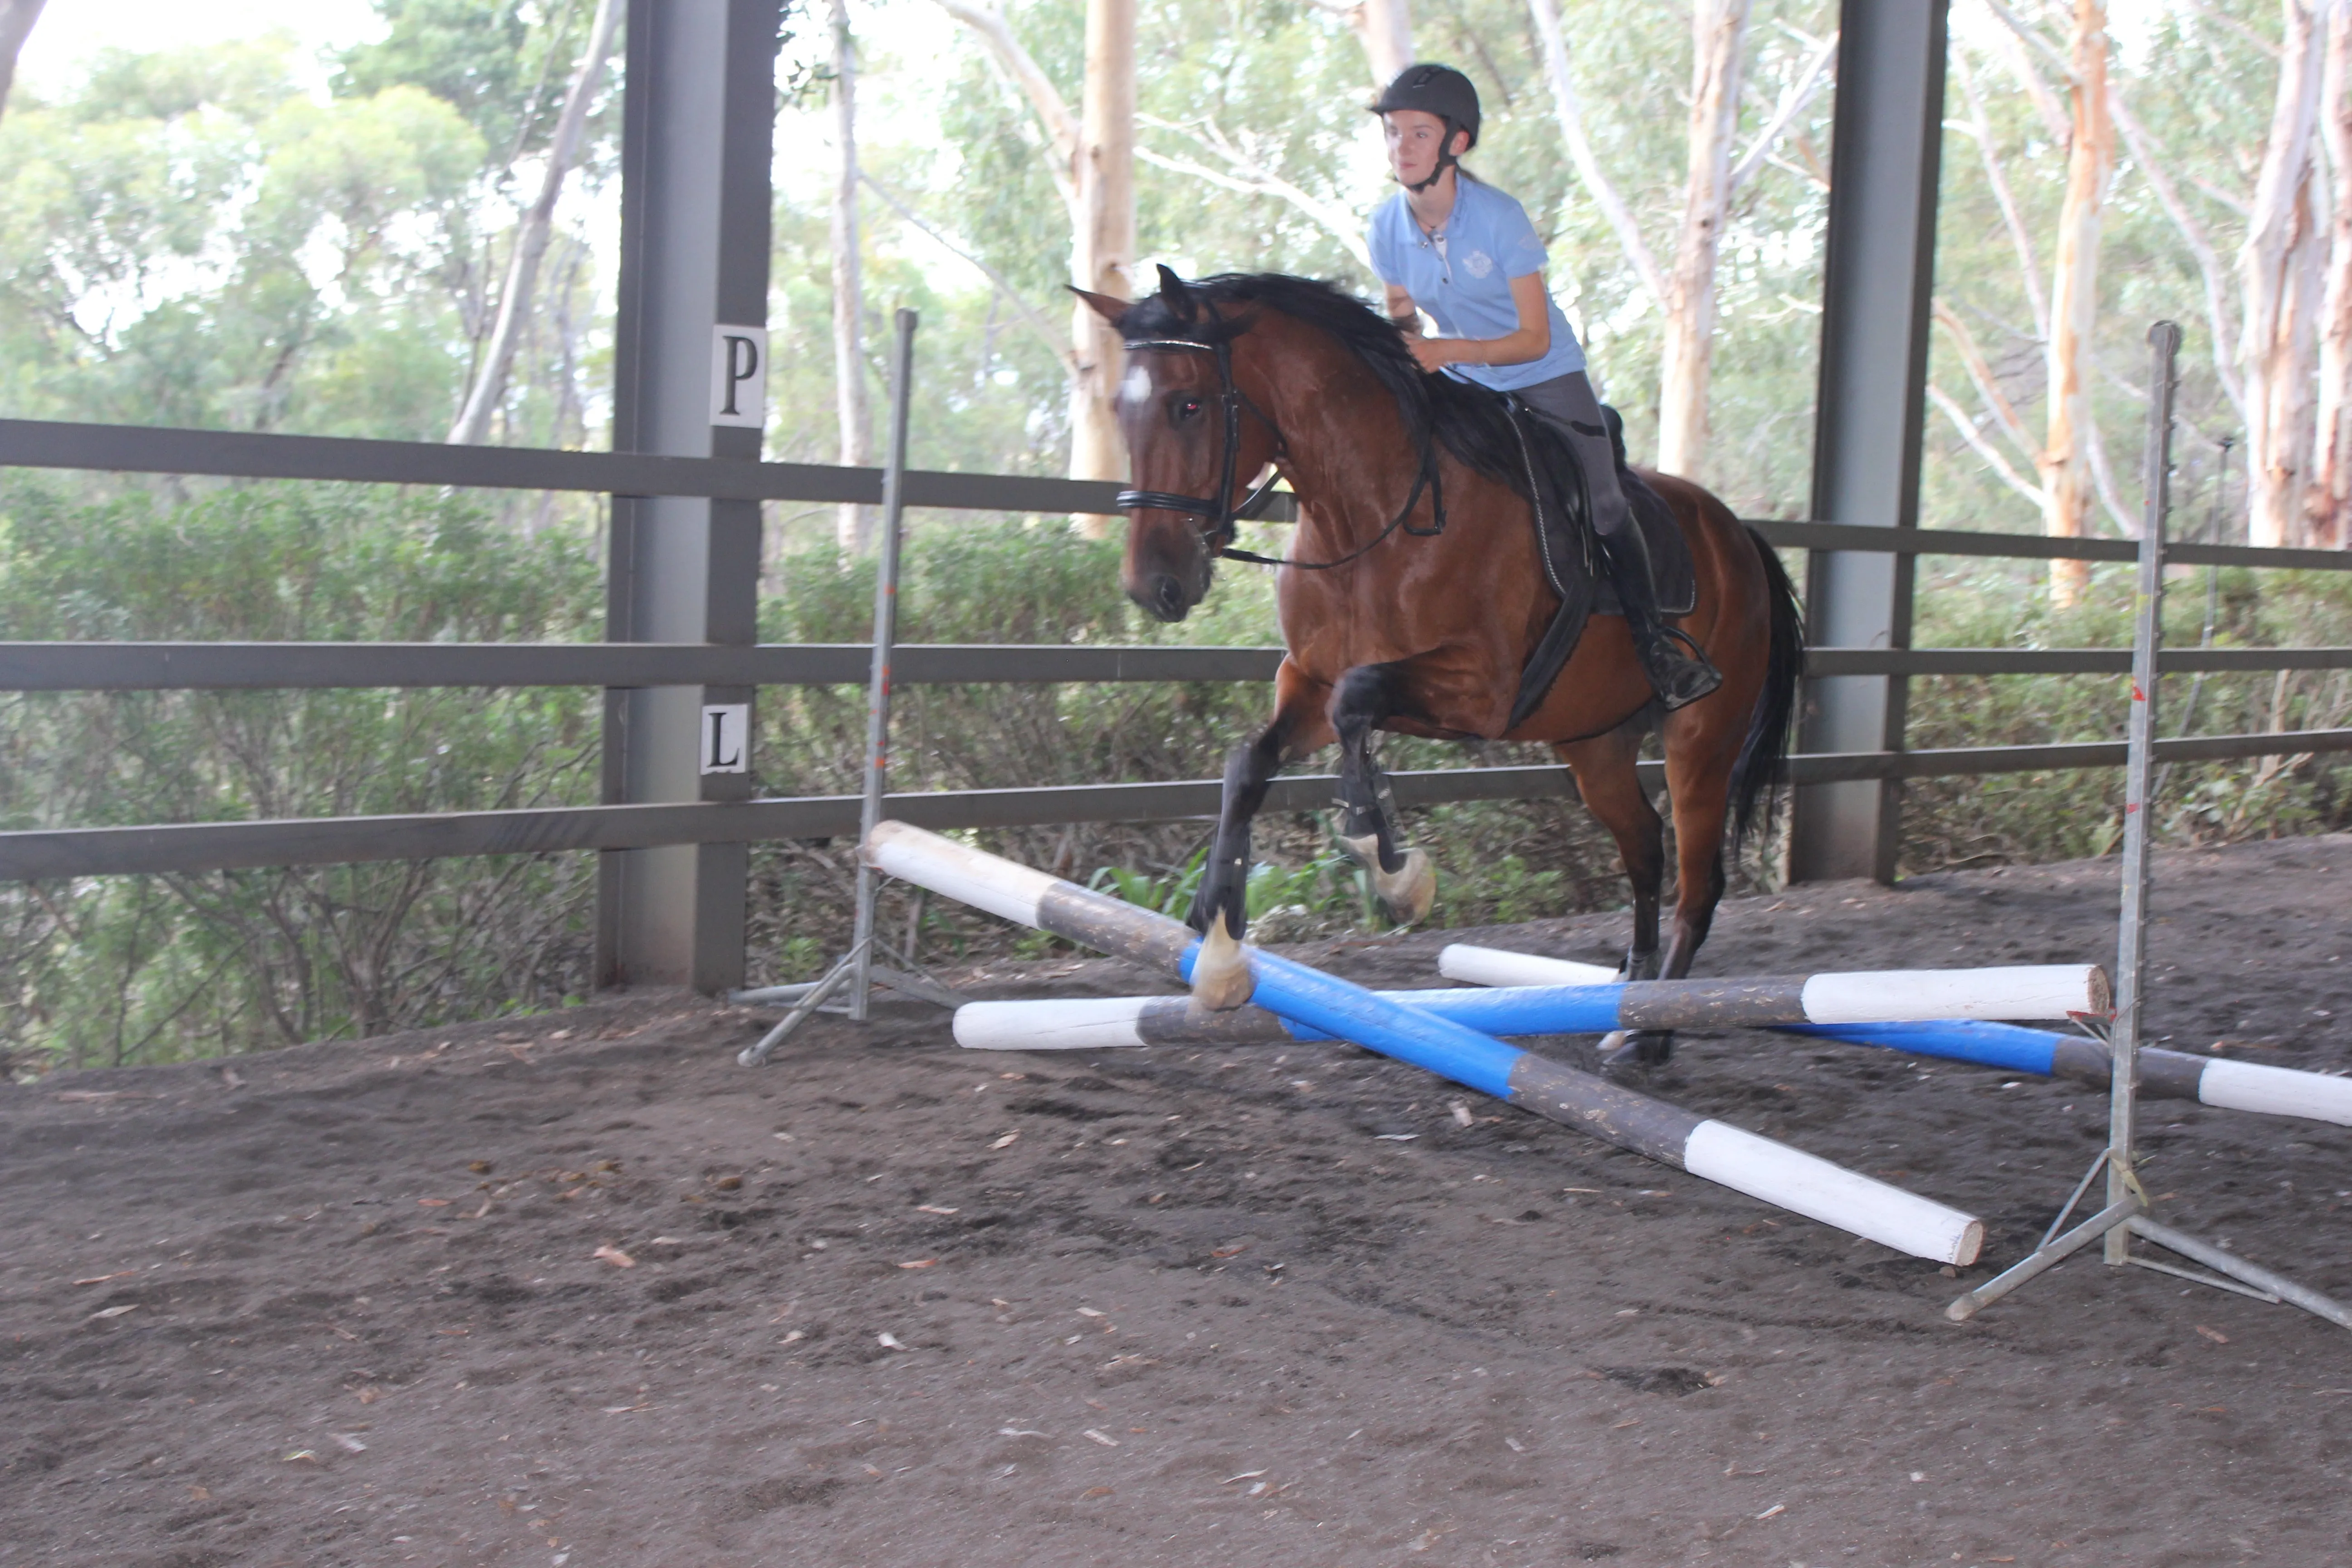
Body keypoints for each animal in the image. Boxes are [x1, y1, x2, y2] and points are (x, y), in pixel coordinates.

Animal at [1082, 270, 1797, 1067]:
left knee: (1699, 882)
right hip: (1595, 743)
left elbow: (1358, 701)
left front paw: (1390, 864)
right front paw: (1219, 935)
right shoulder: (1308, 684)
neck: (1369, 516)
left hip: (1701, 740)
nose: (1155, 587)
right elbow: (1251, 763)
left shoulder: (1480, 691)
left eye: (1190, 404)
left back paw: (1653, 1031)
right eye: (1118, 409)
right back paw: (1627, 1001)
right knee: (1643, 849)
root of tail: (1741, 536)